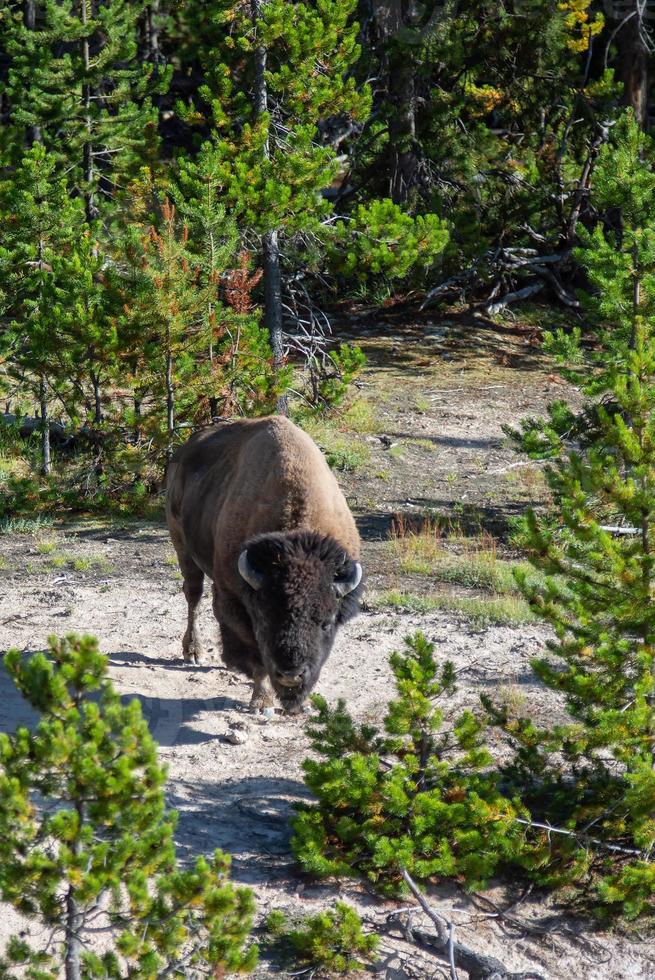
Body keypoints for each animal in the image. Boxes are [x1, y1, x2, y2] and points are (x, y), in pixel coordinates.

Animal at [165, 414, 364, 712]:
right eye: (265, 619)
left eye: (326, 622)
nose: (291, 675)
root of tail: (186, 449)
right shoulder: (238, 602)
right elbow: (257, 656)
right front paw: (262, 702)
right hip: (182, 546)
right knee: (194, 596)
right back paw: (193, 652)